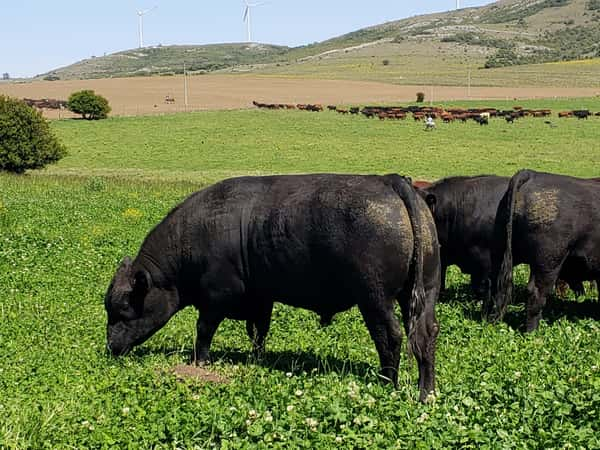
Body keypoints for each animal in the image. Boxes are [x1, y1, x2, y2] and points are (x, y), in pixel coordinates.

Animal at [488, 169, 600, 330]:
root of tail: (532, 174)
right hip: (548, 262)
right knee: (536, 292)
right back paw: (532, 332)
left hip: (500, 252)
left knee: (497, 286)